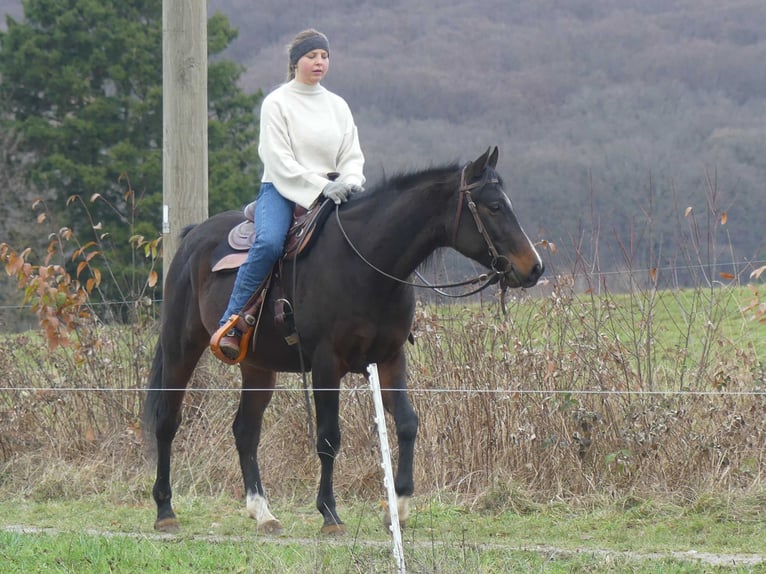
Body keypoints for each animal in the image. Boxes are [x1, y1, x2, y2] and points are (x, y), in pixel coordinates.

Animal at [143, 147, 544, 535]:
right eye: (494, 206)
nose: (535, 268)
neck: (366, 263)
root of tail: (192, 236)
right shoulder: (326, 363)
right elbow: (328, 437)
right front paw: (329, 513)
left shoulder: (391, 358)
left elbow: (407, 424)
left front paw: (398, 508)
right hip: (181, 348)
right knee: (167, 420)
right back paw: (165, 510)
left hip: (257, 367)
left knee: (245, 430)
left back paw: (263, 513)